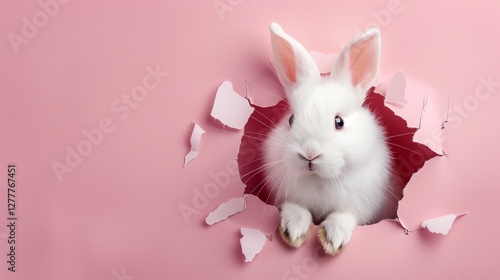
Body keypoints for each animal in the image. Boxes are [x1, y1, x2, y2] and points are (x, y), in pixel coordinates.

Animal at [264, 23, 392, 255]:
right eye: (291, 120)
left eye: (339, 122)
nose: (310, 153)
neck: (319, 180)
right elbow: (296, 208)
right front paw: (294, 231)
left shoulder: (359, 204)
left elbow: (344, 216)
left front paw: (333, 239)